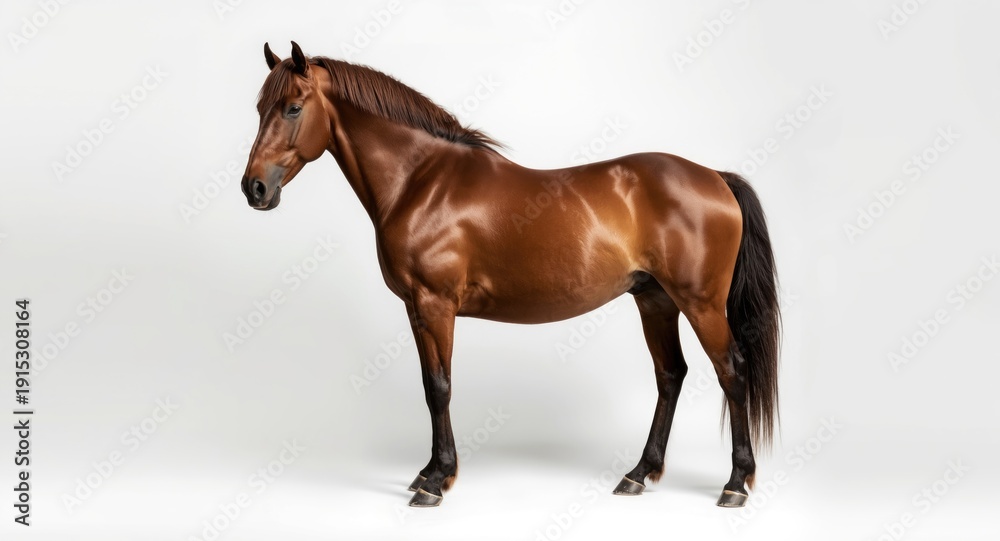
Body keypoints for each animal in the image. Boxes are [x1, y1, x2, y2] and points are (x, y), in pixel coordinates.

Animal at [241, 42, 780, 509]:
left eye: (293, 108)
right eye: (260, 107)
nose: (254, 188)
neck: (422, 182)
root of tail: (715, 177)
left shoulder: (436, 304)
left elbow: (440, 386)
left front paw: (436, 481)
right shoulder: (416, 309)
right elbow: (429, 384)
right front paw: (428, 471)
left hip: (700, 303)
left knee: (731, 371)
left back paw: (735, 483)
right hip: (655, 300)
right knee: (671, 375)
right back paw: (638, 474)